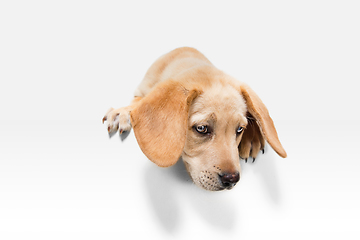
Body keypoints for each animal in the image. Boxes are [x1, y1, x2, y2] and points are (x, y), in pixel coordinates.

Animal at [102, 47, 286, 191]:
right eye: (202, 128)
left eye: (239, 129)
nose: (232, 180)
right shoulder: (142, 90)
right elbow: (136, 103)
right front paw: (122, 113)